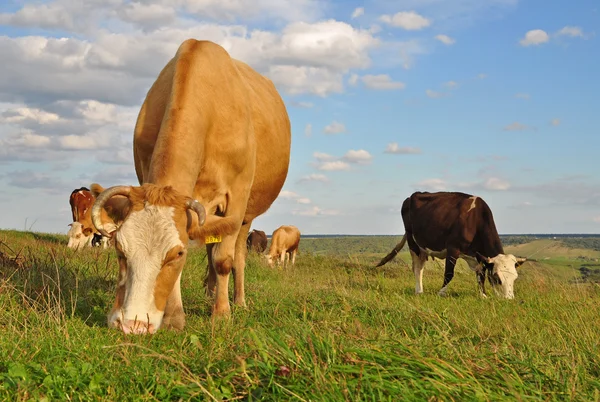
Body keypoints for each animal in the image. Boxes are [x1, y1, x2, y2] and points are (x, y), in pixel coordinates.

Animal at [89, 40, 292, 336]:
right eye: (119, 249)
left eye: (177, 253)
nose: (132, 325)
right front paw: (174, 317)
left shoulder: (237, 196)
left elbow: (223, 260)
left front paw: (222, 315)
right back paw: (210, 291)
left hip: (247, 215)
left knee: (237, 255)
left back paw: (238, 300)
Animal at [378, 192, 528, 298]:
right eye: (497, 278)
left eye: (515, 278)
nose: (509, 299)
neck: (475, 220)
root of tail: (411, 196)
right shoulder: (453, 248)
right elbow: (449, 273)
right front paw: (441, 293)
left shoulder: (478, 256)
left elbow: (481, 275)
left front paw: (483, 295)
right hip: (413, 241)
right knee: (418, 267)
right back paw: (419, 291)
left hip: (424, 246)